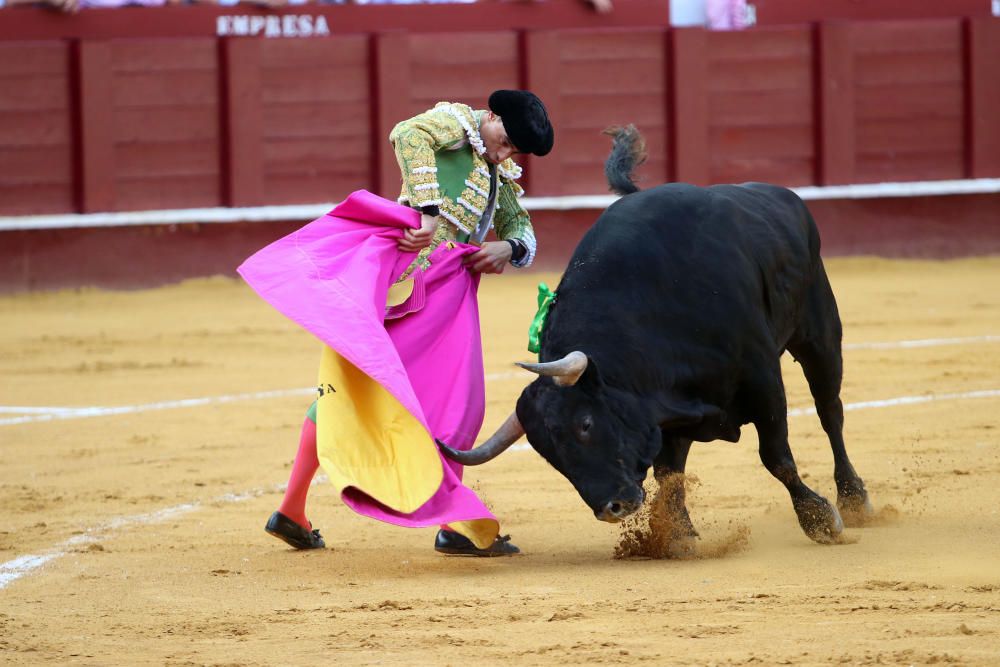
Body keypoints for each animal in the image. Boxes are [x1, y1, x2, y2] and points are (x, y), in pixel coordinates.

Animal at [442, 126, 872, 548]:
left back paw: (853, 499)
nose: (611, 508)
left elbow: (776, 456)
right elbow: (669, 471)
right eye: (548, 452)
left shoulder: (761, 377)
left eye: (585, 424)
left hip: (819, 333)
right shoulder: (662, 403)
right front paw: (675, 534)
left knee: (830, 411)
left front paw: (819, 519)